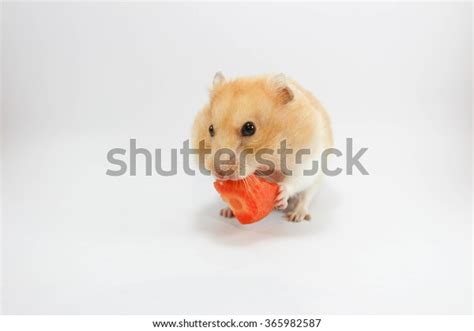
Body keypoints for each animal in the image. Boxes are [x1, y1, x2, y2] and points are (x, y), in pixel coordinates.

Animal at [191, 73, 332, 223]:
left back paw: (296, 216)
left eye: (249, 128)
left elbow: (295, 180)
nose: (219, 173)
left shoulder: (309, 160)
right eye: (210, 129)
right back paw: (226, 212)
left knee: (305, 197)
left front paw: (281, 195)